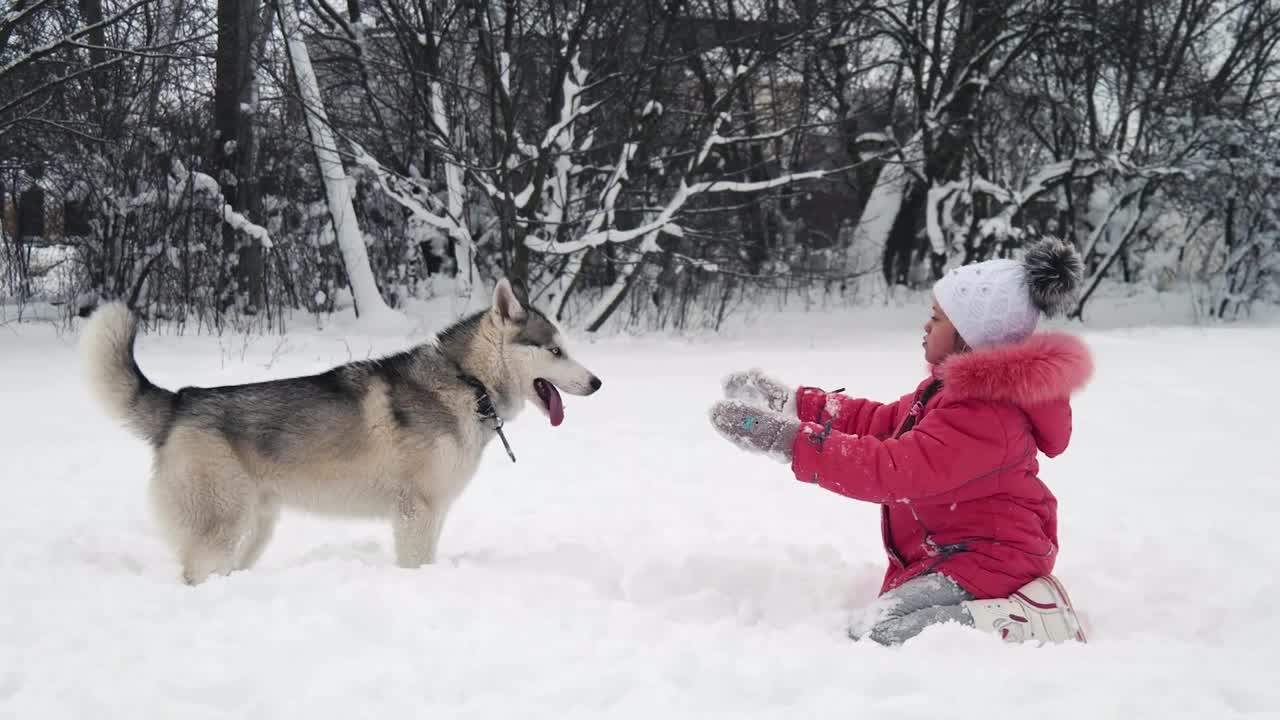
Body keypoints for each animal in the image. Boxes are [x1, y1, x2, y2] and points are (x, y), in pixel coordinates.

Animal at [82, 280, 601, 584]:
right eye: (555, 351)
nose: (597, 383)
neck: (467, 381)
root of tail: (181, 400)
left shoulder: (434, 511)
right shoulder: (415, 510)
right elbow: (415, 563)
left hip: (254, 527)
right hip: (221, 526)